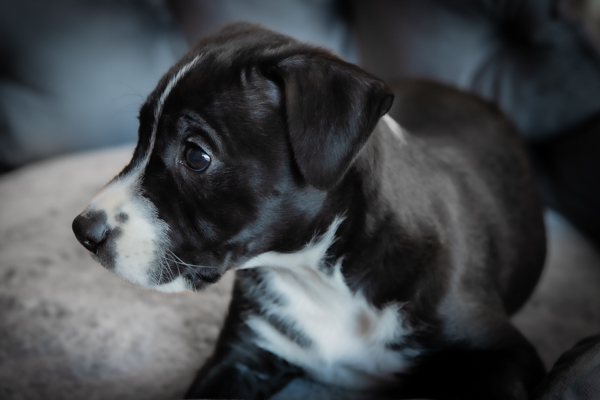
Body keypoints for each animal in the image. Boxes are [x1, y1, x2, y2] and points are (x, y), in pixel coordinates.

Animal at [72, 22, 548, 400]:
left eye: (196, 156)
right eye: (140, 136)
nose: (83, 231)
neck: (322, 275)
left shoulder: (502, 353)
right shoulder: (242, 355)